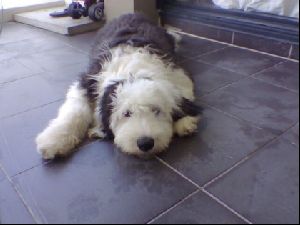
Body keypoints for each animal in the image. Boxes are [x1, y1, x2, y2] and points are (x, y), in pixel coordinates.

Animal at [36, 13, 203, 160]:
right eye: (126, 113)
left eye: (156, 110)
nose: (145, 143)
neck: (132, 70)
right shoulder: (86, 82)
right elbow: (75, 110)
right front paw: (54, 140)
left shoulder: (177, 72)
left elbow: (184, 92)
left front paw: (185, 121)